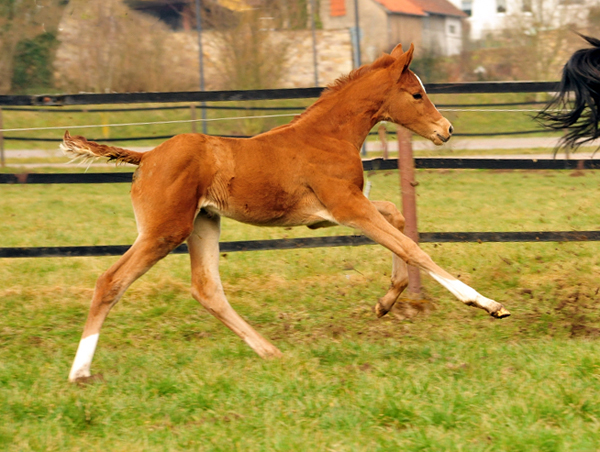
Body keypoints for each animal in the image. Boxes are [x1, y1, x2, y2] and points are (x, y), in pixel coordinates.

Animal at [63, 43, 508, 382]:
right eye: (416, 95)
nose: (446, 130)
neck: (328, 134)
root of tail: (147, 156)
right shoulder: (346, 206)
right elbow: (412, 246)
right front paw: (485, 304)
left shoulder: (334, 211)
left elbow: (398, 220)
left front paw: (385, 302)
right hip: (164, 230)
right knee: (111, 281)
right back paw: (79, 372)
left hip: (204, 222)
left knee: (207, 289)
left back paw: (271, 352)